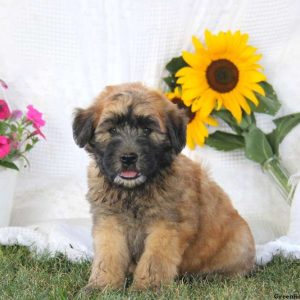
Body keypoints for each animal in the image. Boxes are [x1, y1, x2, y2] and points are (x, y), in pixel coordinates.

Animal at [72, 82, 255, 290]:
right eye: (112, 130)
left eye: (146, 130)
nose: (128, 158)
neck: (134, 191)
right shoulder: (109, 222)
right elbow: (108, 256)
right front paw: (102, 285)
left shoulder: (167, 226)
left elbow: (155, 259)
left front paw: (147, 288)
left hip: (239, 240)